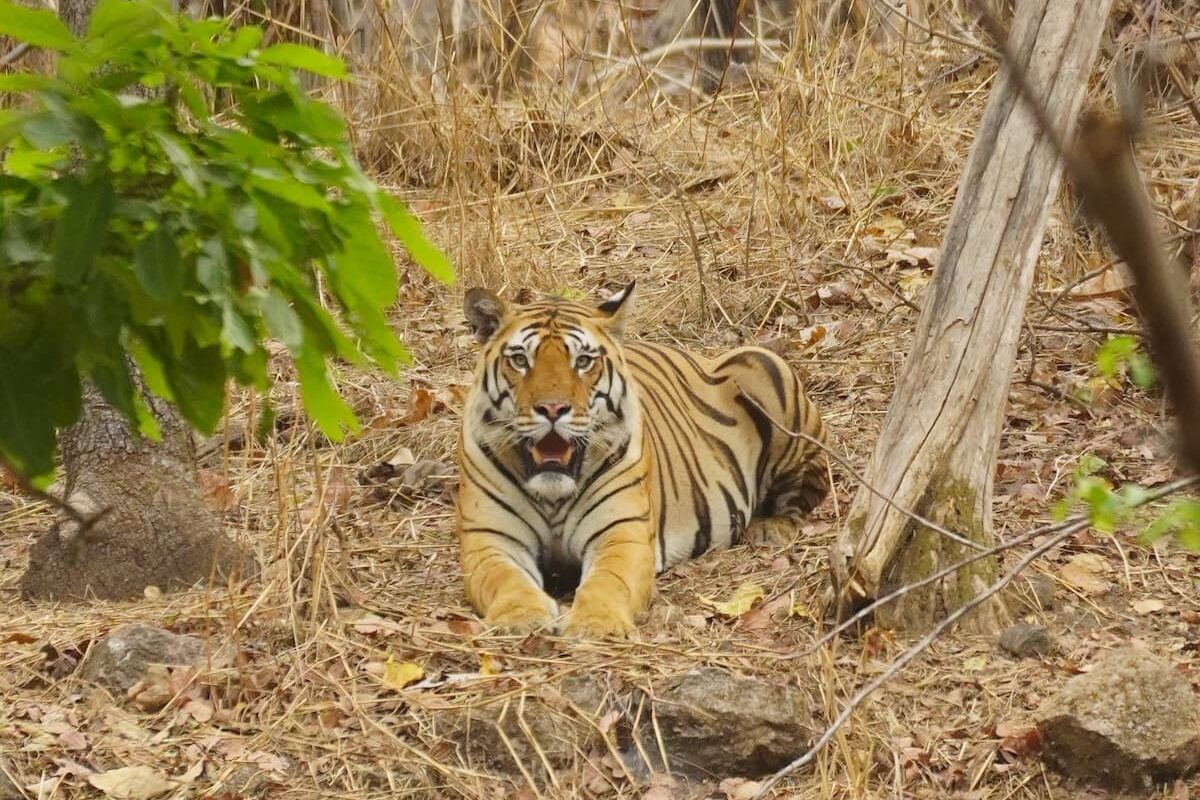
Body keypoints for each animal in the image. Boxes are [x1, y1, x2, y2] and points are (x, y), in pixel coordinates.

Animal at [455, 282, 829, 637]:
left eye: (583, 361)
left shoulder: (622, 534)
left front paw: (595, 625)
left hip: (764, 365)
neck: (553, 495)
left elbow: (607, 582)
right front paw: (519, 620)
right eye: (520, 360)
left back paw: (770, 529)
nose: (552, 409)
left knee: (810, 486)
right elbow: (505, 580)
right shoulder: (489, 540)